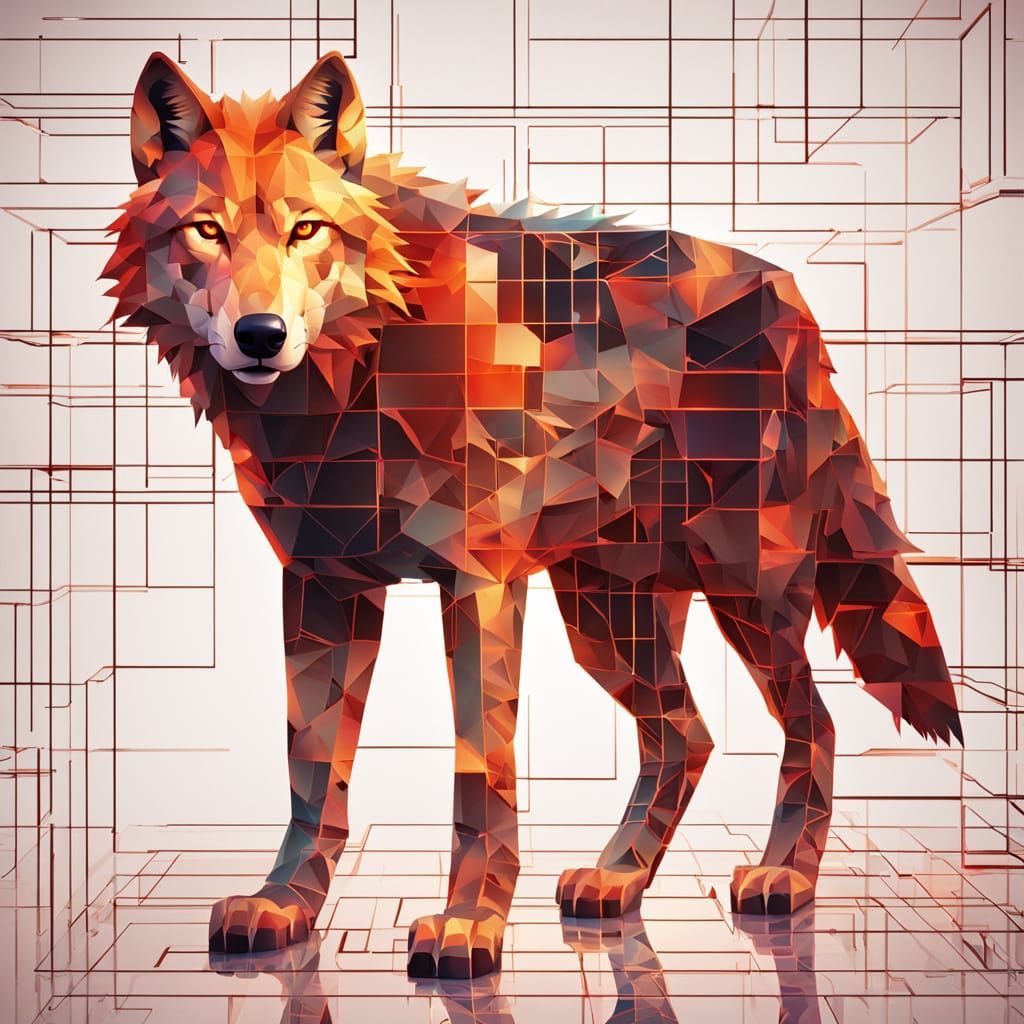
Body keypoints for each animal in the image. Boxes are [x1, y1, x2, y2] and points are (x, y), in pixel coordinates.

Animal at [105, 51, 962, 979]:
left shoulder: (476, 584)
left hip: (747, 592)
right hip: (603, 621)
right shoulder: (321, 587)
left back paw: (785, 878)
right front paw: (285, 905)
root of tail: (790, 295)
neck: (360, 372)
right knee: (686, 735)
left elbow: (480, 774)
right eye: (206, 231)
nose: (260, 335)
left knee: (815, 721)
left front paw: (469, 927)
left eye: (305, 230)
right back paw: (618, 881)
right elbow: (311, 770)